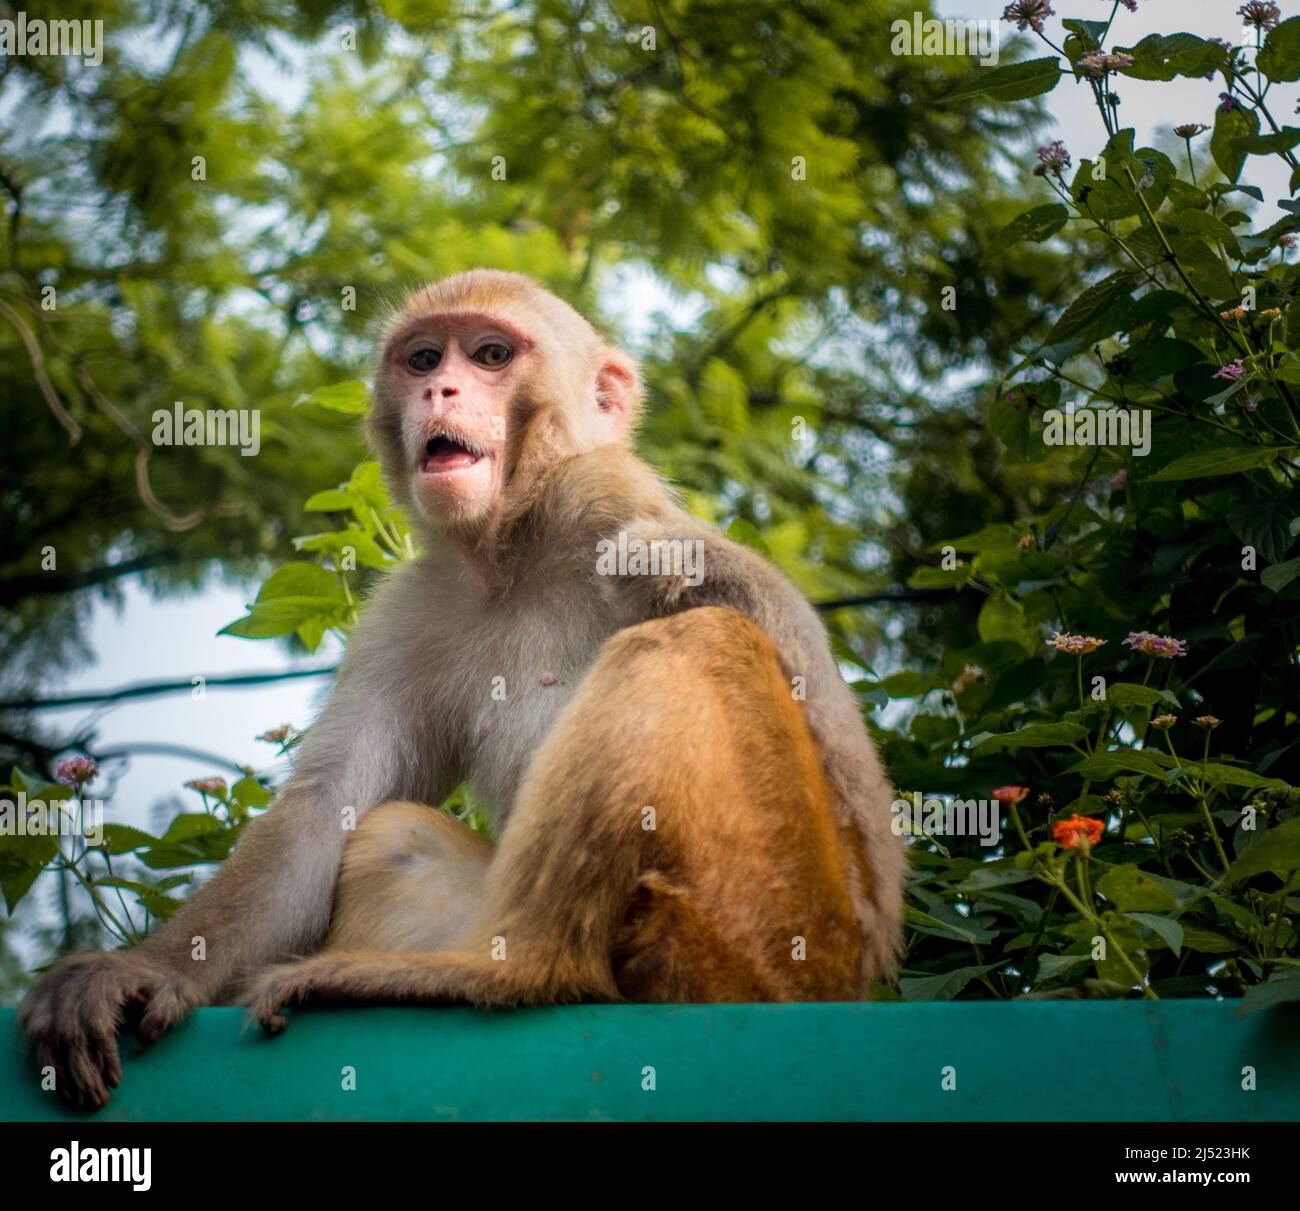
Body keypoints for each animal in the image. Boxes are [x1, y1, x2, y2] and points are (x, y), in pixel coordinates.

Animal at [25, 271, 909, 1107]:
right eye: (424, 359)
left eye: (489, 355)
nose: (441, 391)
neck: (515, 548)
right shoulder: (415, 604)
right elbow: (326, 807)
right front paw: (148, 970)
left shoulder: (607, 495)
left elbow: (842, 761)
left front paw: (678, 566)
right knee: (393, 834)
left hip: (764, 924)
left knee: (694, 642)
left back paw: (520, 970)